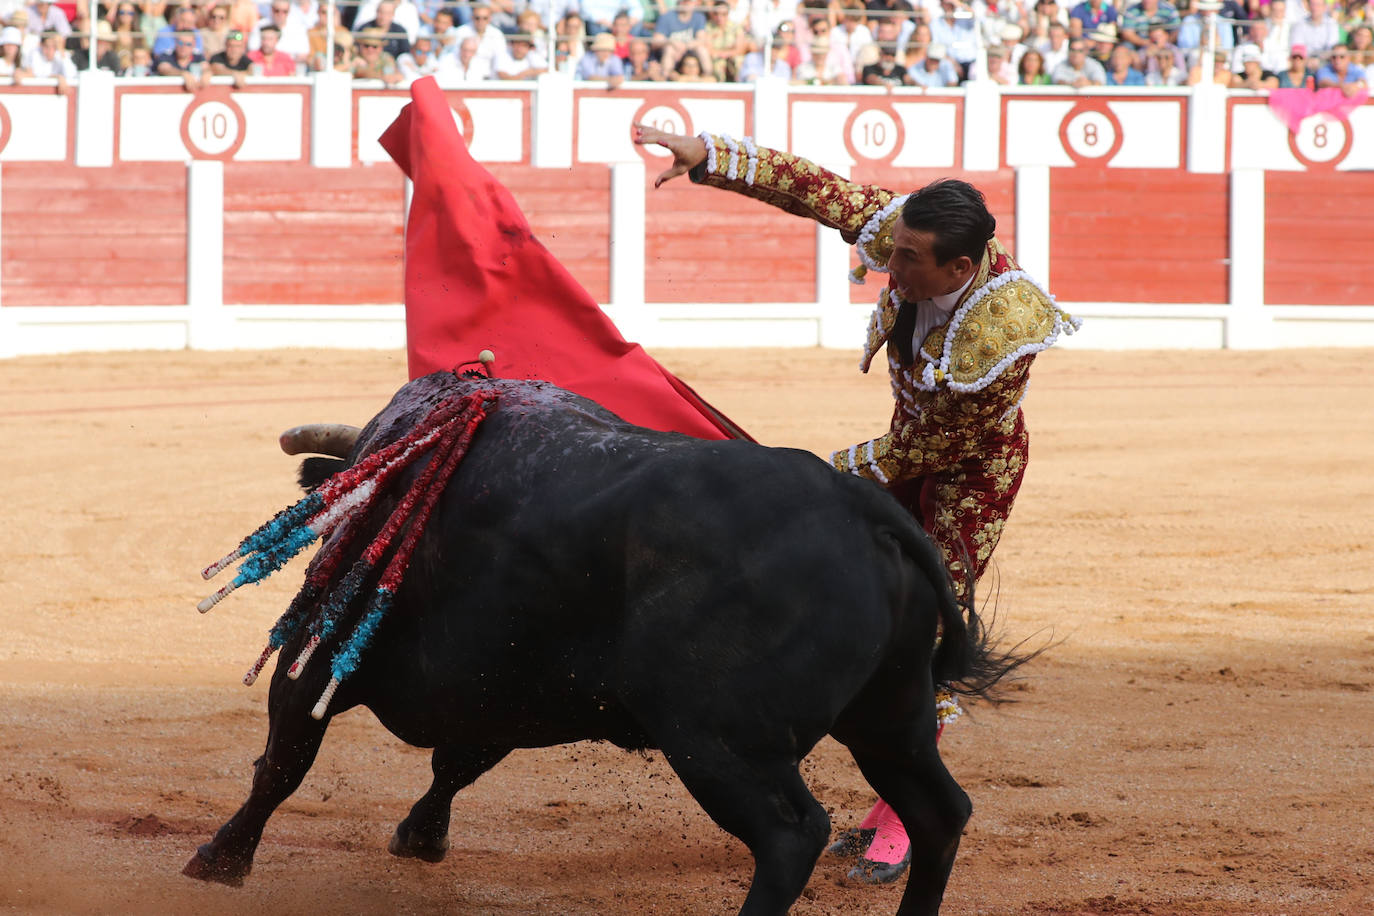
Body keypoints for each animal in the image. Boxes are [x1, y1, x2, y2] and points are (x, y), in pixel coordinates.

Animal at [182, 368, 1027, 911]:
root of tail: (865, 513)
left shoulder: (324, 645)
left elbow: (284, 759)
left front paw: (219, 859)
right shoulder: (509, 687)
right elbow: (456, 764)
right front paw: (421, 837)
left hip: (720, 741)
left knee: (793, 834)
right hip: (891, 718)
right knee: (940, 811)